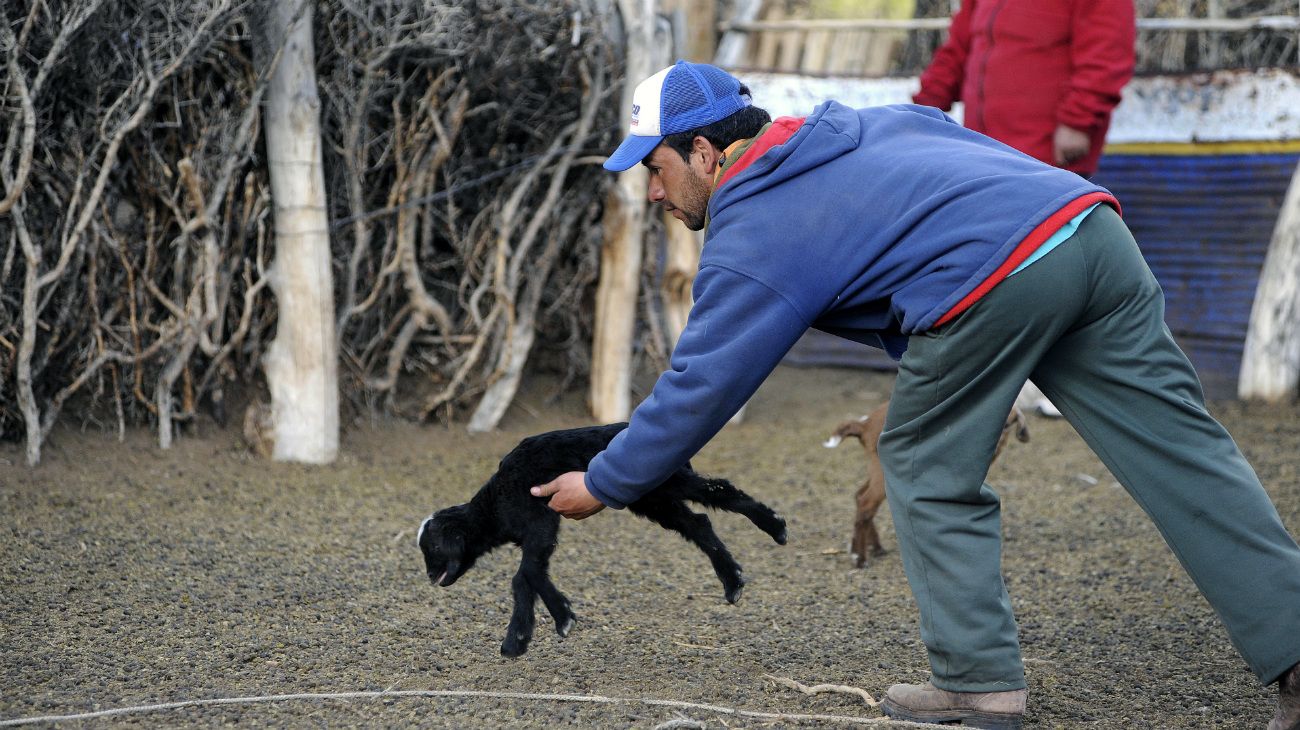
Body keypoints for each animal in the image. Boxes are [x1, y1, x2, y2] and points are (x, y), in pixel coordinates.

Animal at [416, 420, 785, 654]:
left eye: (432, 547)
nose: (430, 577)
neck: (494, 505)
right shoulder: (535, 533)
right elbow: (529, 577)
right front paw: (539, 628)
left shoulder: (539, 521)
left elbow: (525, 575)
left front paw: (538, 629)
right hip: (651, 499)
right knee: (698, 523)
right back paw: (732, 580)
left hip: (670, 481)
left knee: (719, 490)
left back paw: (775, 526)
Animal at [826, 400, 1029, 566]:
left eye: (1008, 424)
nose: (993, 445)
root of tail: (864, 424)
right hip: (883, 470)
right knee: (866, 502)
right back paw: (859, 558)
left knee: (859, 495)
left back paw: (873, 548)